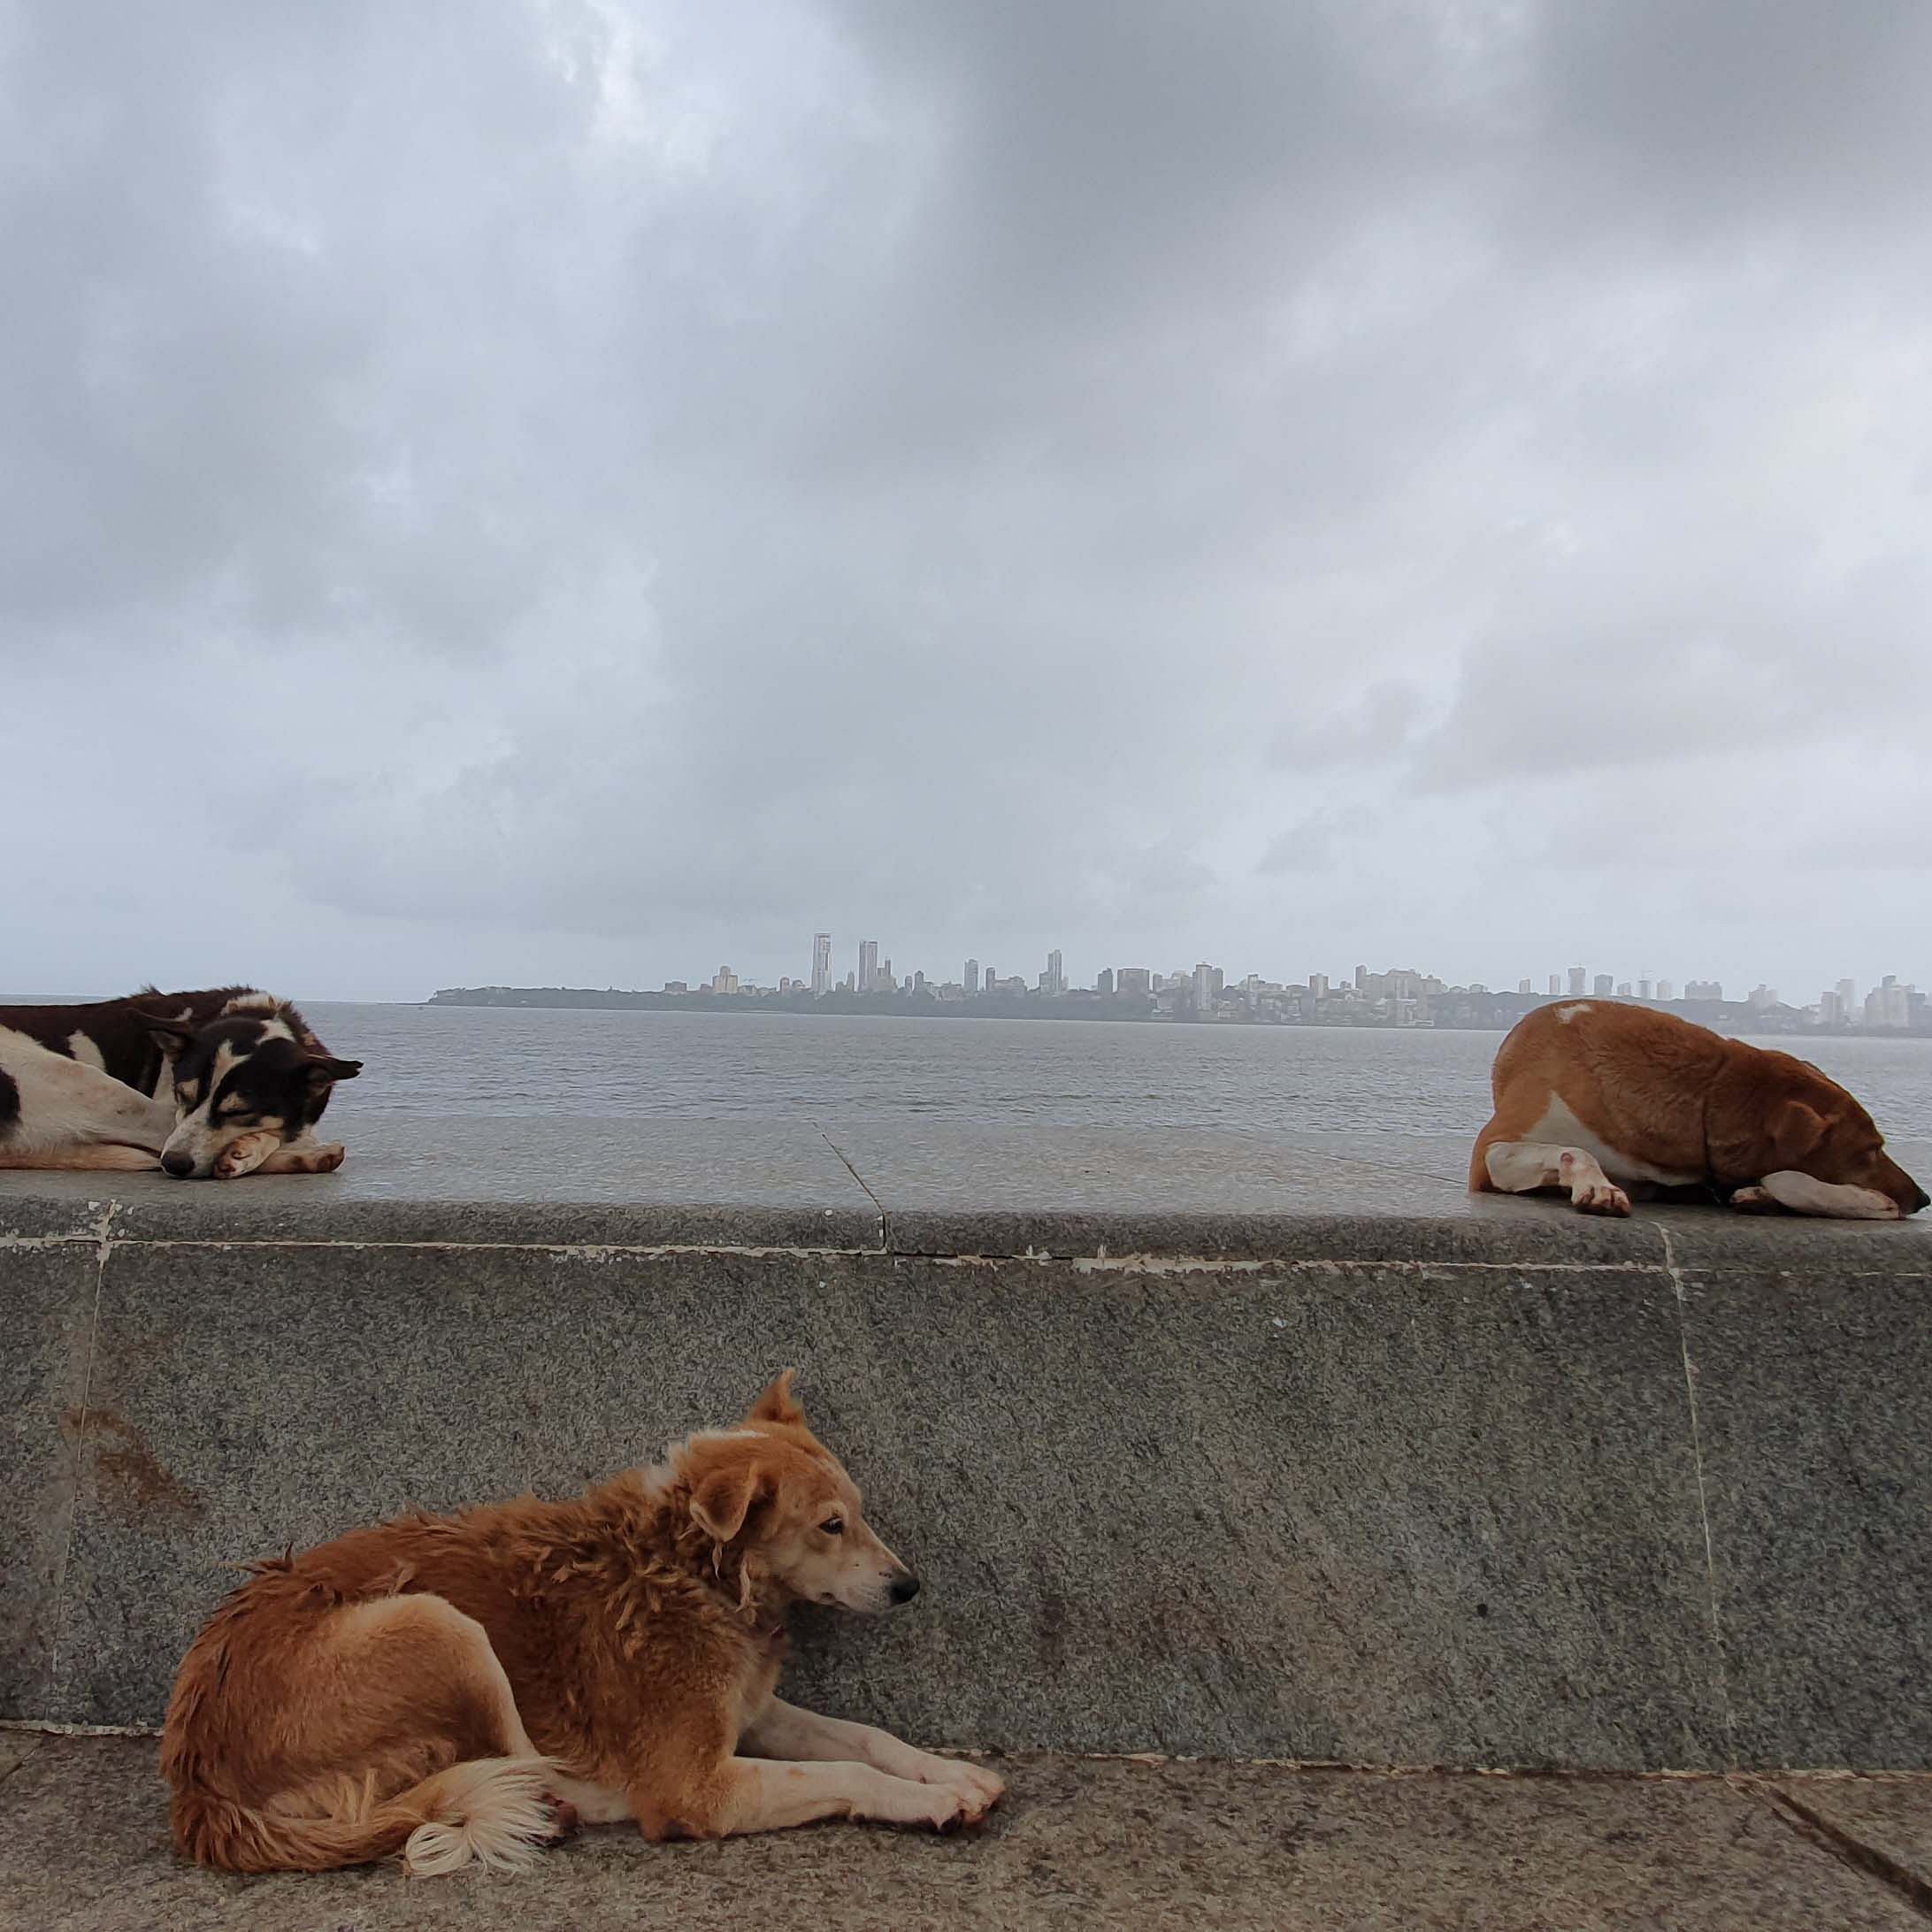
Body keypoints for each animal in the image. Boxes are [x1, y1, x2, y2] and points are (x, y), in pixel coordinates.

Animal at [0, 996, 361, 1174]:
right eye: (181, 1095)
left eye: (239, 1111)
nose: (175, 1165)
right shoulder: (170, 1110)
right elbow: (290, 1133)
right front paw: (247, 1149)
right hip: (96, 1088)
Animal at [158, 1368, 1004, 1877]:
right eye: (831, 1525)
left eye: (858, 1513)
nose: (909, 1587)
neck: (693, 1566)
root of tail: (198, 1782)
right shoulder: (696, 1785)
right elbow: (843, 1773)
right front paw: (930, 1801)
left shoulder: (751, 1711)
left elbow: (865, 1738)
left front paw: (948, 1771)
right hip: (443, 1626)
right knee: (524, 1767)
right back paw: (563, 1806)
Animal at [1468, 996, 1924, 1221]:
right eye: (1870, 1150)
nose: (1923, 1199)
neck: (1710, 1091)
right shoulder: (1491, 1152)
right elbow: (1573, 1150)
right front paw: (1598, 1188)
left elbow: (1784, 1178)